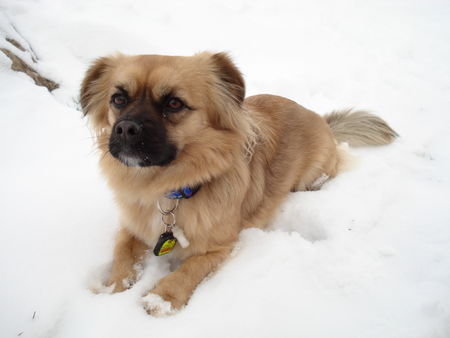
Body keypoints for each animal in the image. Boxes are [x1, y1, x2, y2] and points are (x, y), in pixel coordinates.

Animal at [80, 51, 398, 316]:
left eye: (174, 103)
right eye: (118, 99)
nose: (126, 128)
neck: (168, 189)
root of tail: (321, 120)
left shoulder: (223, 246)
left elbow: (191, 267)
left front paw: (162, 298)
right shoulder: (132, 226)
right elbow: (122, 254)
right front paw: (114, 288)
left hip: (312, 177)